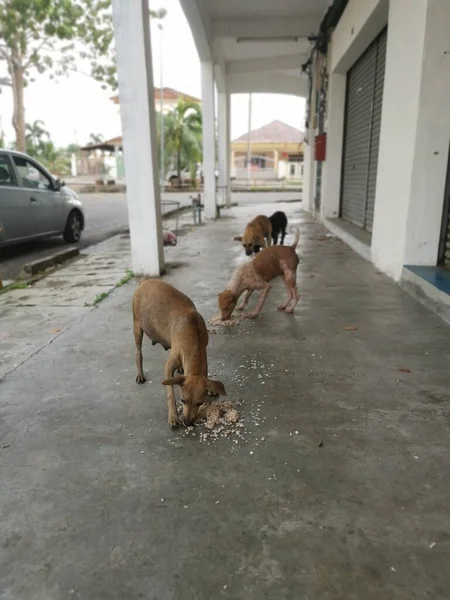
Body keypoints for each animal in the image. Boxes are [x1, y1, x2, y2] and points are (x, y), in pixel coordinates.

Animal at [133, 280, 227, 426]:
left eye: (200, 403)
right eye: (182, 400)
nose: (187, 422)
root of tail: (145, 281)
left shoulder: (203, 352)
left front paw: (211, 387)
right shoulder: (169, 366)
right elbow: (170, 393)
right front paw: (173, 415)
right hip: (137, 327)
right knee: (138, 353)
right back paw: (140, 373)